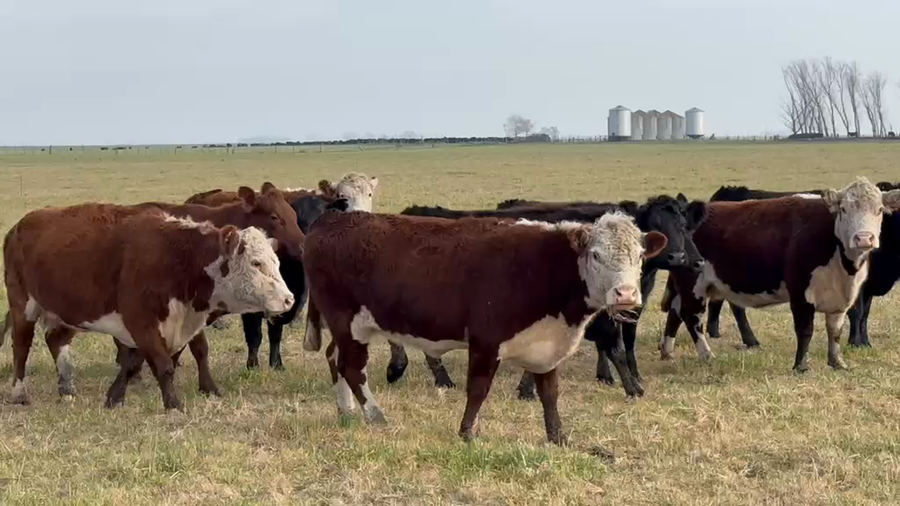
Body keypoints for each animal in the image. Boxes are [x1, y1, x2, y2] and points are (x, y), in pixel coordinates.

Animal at [2, 205, 294, 409]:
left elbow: (135, 363)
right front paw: (173, 405)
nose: (288, 299)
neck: (177, 257)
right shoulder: (141, 322)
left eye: (277, 262)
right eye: (256, 263)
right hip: (23, 306)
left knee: (55, 340)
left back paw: (66, 387)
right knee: (21, 347)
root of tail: (19, 226)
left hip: (67, 311)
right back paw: (19, 392)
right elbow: (162, 365)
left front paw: (114, 397)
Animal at [301, 210, 667, 444]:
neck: (544, 266)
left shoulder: (547, 345)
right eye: (596, 255)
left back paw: (347, 411)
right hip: (347, 322)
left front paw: (558, 437)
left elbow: (550, 393)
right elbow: (477, 389)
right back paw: (376, 416)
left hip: (347, 327)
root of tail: (330, 220)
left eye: (639, 256)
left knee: (336, 359)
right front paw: (466, 433)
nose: (626, 294)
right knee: (352, 368)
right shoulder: (486, 341)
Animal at [371, 193, 706, 399]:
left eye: (684, 225)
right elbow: (616, 348)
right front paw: (633, 388)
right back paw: (407, 370)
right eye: (655, 225)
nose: (680, 257)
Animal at [659, 177, 900, 372]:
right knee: (691, 318)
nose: (864, 238)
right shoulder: (801, 293)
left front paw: (837, 362)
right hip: (693, 284)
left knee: (675, 313)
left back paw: (667, 352)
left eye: (880, 210)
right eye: (843, 209)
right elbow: (805, 329)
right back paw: (707, 354)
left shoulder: (842, 297)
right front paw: (801, 366)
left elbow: (835, 330)